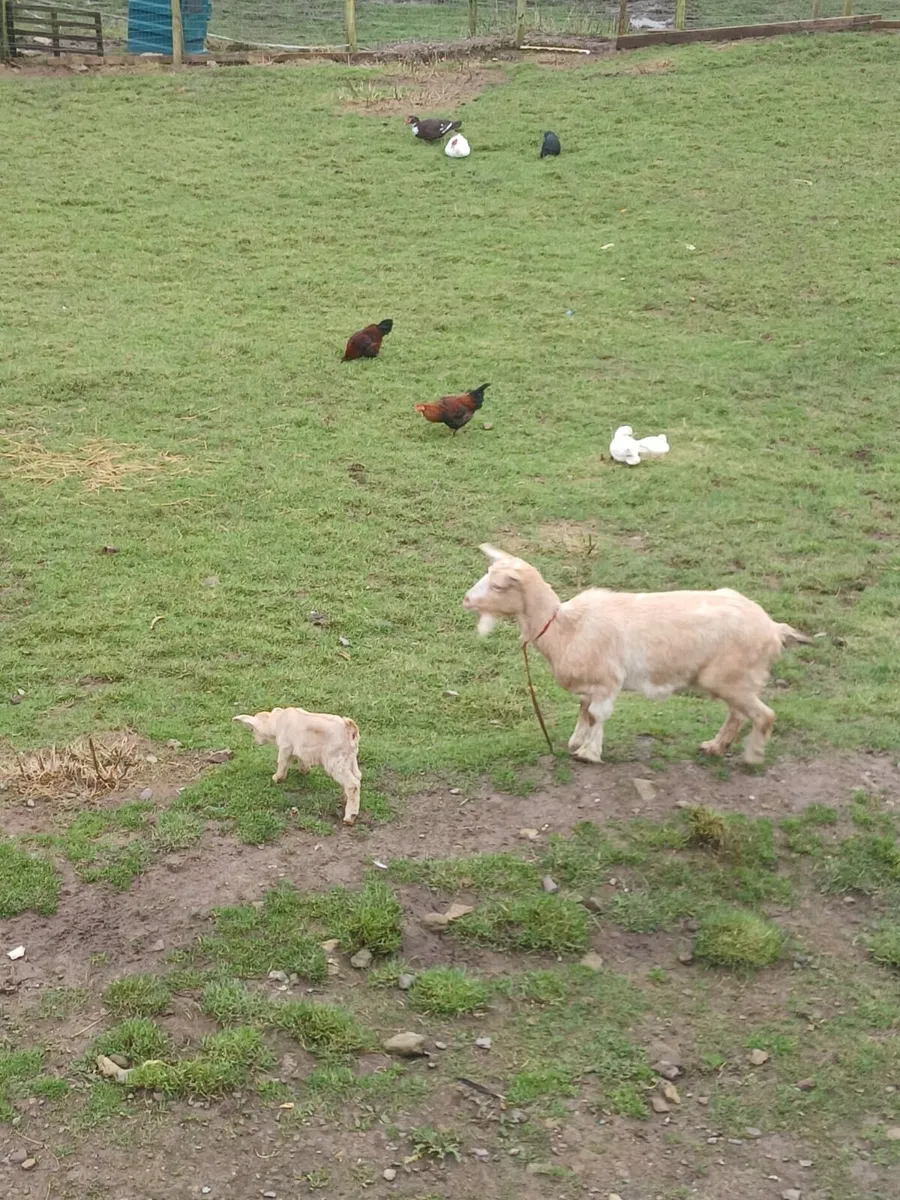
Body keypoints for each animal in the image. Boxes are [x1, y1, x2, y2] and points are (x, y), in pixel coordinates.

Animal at [233, 707, 361, 825]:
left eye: (252, 729)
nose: (256, 741)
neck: (276, 721)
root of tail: (350, 728)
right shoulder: (301, 748)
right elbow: (301, 760)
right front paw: (304, 770)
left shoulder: (285, 746)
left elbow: (282, 762)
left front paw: (277, 778)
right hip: (350, 758)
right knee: (357, 776)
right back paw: (345, 798)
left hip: (335, 761)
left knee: (352, 784)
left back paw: (350, 817)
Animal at [463, 544, 811, 765]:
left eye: (498, 586)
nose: (465, 599)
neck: (566, 627)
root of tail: (773, 629)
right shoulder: (590, 685)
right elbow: (584, 711)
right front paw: (577, 741)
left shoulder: (608, 681)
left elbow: (597, 715)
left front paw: (589, 753)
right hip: (731, 679)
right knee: (738, 713)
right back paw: (714, 747)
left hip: (732, 676)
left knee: (764, 715)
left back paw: (752, 757)